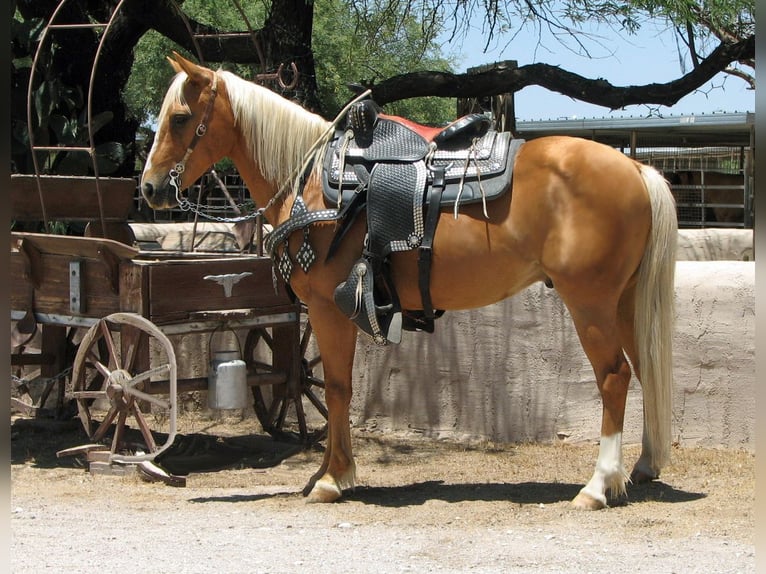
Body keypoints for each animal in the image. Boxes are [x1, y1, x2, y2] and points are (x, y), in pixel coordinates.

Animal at [140, 55, 680, 512]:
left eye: (181, 118)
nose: (149, 187)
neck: (312, 183)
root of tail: (635, 167)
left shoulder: (328, 308)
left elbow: (337, 388)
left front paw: (333, 479)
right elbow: (337, 389)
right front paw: (325, 472)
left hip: (589, 302)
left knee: (613, 376)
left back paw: (598, 485)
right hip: (623, 302)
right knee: (644, 368)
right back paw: (643, 466)